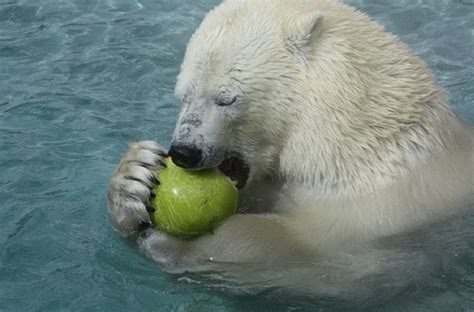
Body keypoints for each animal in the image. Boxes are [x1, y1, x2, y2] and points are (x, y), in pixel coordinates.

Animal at [105, 0, 472, 278]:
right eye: (184, 95)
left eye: (226, 98)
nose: (184, 151)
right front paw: (134, 175)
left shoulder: (379, 207)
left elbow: (300, 248)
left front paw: (175, 244)